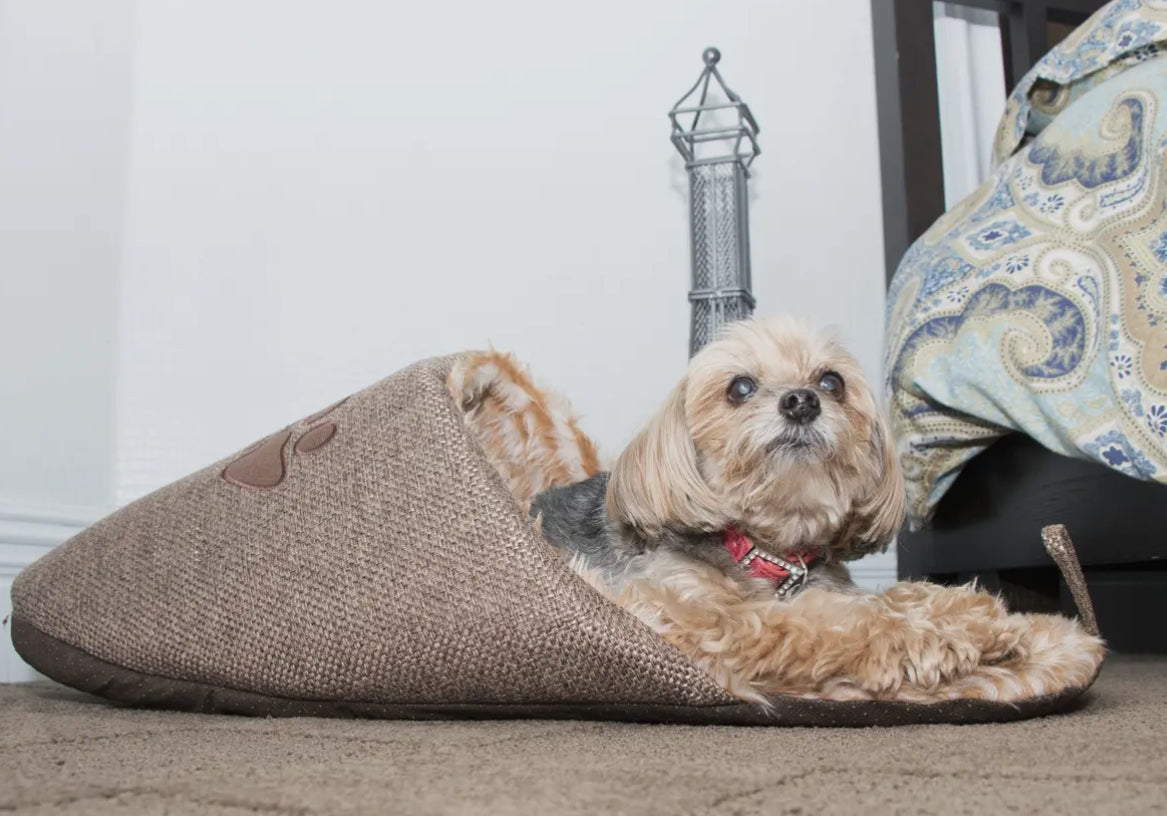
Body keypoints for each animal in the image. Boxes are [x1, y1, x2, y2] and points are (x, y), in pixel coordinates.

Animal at [450, 315, 1106, 705]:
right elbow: (824, 626)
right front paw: (934, 642)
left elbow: (887, 597)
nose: (801, 401)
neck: (770, 550)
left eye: (832, 380)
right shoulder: (706, 618)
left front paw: (978, 615)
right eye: (739, 387)